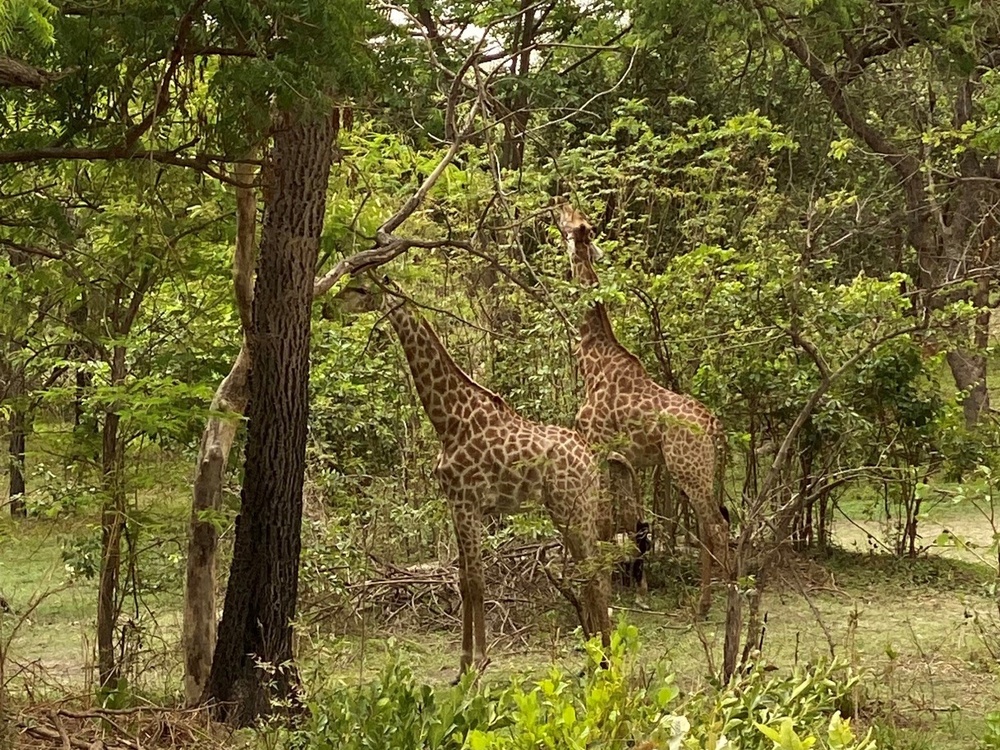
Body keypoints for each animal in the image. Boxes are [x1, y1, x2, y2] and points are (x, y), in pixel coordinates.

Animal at [336, 274, 612, 676]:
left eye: (359, 289)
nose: (329, 306)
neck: (448, 419)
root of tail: (590, 459)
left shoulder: (468, 502)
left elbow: (478, 582)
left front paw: (480, 661)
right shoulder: (456, 503)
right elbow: (464, 581)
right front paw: (464, 662)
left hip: (572, 508)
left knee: (595, 573)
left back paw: (605, 661)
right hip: (571, 509)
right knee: (592, 572)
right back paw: (595, 660)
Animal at [556, 201, 728, 616]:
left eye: (573, 221)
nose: (557, 205)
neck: (592, 360)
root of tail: (715, 426)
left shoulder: (596, 445)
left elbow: (603, 519)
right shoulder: (623, 458)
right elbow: (629, 518)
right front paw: (636, 588)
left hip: (688, 468)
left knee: (715, 527)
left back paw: (712, 600)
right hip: (700, 470)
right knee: (713, 524)